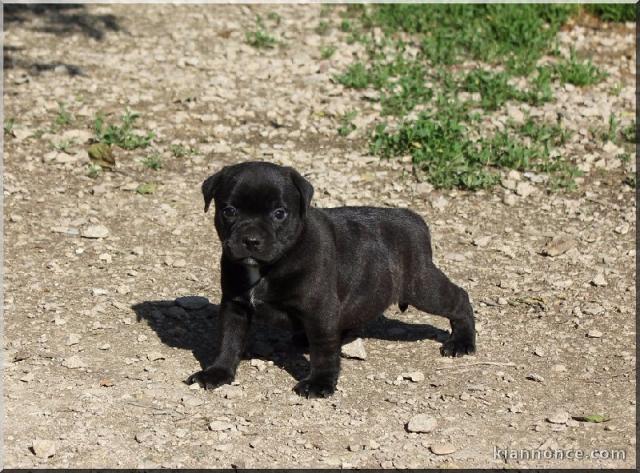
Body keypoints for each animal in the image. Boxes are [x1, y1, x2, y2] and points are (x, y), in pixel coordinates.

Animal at [186, 160, 476, 396]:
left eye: (279, 213)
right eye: (229, 211)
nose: (251, 240)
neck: (267, 267)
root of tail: (414, 219)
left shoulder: (319, 310)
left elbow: (324, 350)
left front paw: (320, 383)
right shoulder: (235, 306)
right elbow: (229, 341)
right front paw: (217, 373)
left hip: (422, 286)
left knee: (459, 298)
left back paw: (461, 342)